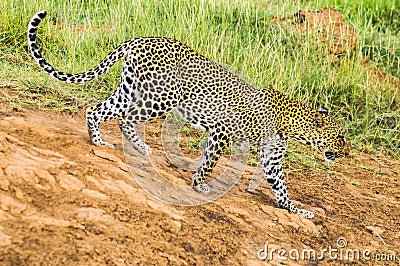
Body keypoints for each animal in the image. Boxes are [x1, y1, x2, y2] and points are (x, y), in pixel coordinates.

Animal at [27, 10, 350, 218]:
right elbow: (210, 162)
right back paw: (120, 145)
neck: (292, 124)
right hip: (161, 97)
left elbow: (280, 187)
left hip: (132, 88)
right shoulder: (223, 131)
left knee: (99, 109)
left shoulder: (270, 154)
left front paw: (297, 210)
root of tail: (140, 39)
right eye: (341, 137)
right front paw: (200, 185)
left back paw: (111, 143)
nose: (346, 153)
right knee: (124, 117)